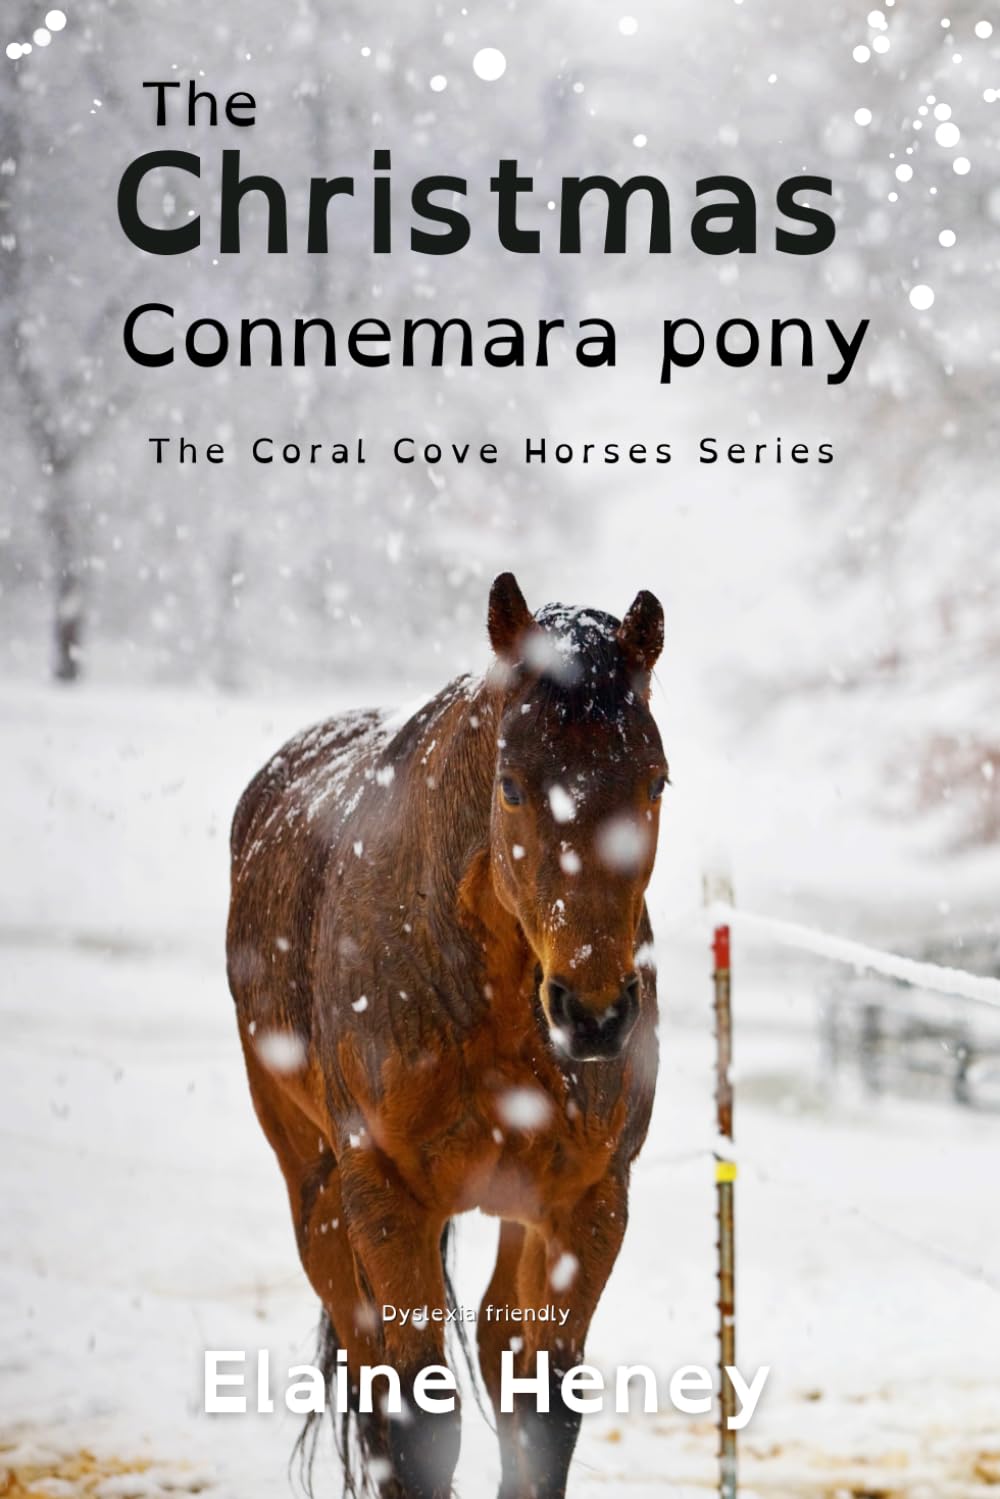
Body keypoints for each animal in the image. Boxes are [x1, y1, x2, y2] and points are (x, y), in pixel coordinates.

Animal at [226, 572, 667, 1499]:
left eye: (655, 781)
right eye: (512, 784)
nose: (594, 1012)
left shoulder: (590, 1201)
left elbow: (544, 1410)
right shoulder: (387, 1198)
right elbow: (419, 1417)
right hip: (318, 1194)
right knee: (372, 1374)